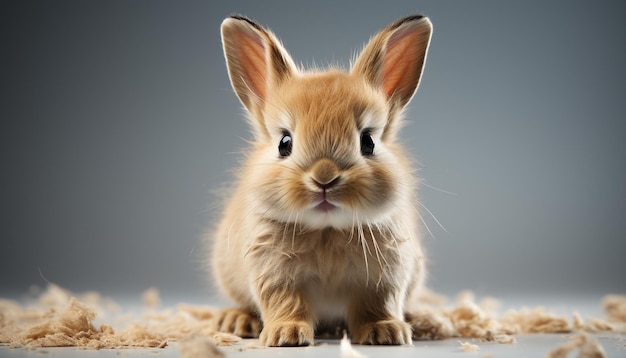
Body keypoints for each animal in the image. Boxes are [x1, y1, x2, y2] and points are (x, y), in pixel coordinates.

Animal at [208, 14, 434, 346]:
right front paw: (286, 335)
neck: (327, 230)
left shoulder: (384, 277)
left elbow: (376, 304)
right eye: (284, 143)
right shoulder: (274, 274)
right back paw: (236, 321)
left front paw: (386, 332)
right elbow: (286, 302)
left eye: (368, 142)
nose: (324, 178)